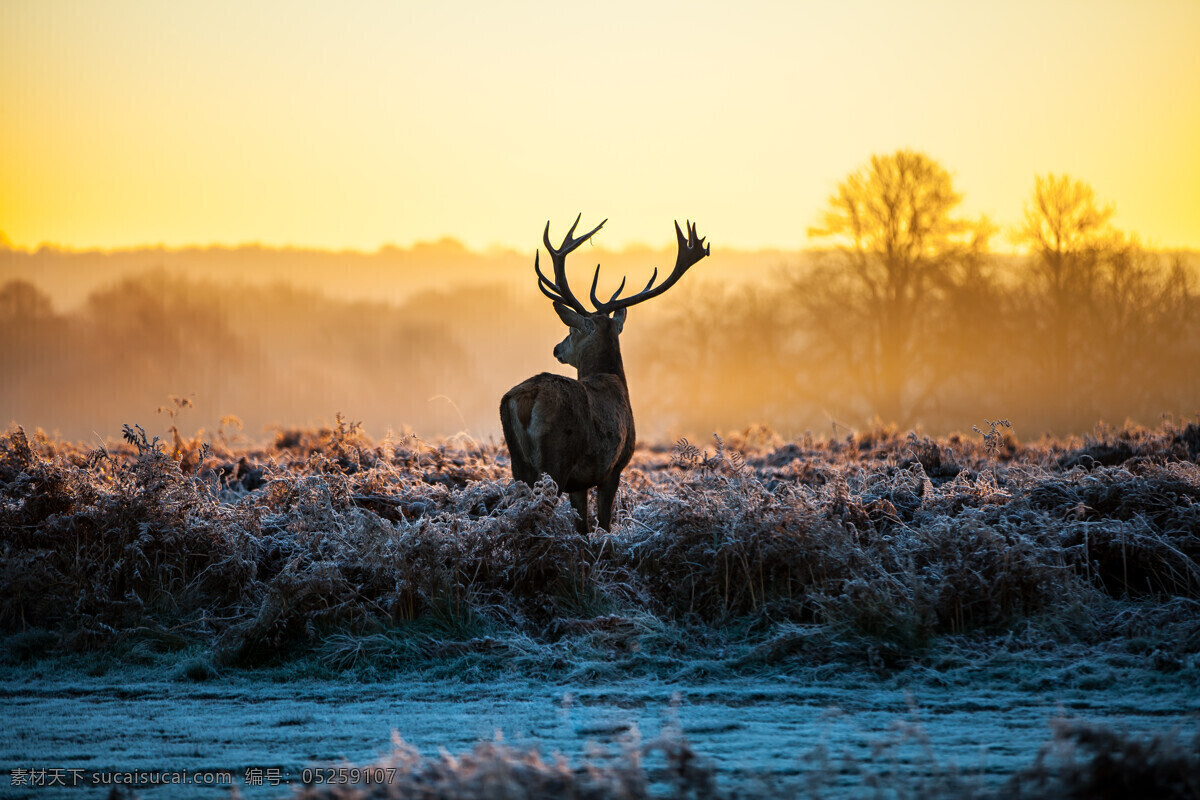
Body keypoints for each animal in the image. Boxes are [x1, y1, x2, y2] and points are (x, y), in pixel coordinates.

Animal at [499, 215, 705, 534]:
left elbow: (582, 524)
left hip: (518, 463)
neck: (613, 379)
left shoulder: (580, 482)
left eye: (571, 331)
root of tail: (526, 399)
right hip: (556, 458)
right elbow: (604, 524)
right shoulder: (613, 467)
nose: (557, 348)